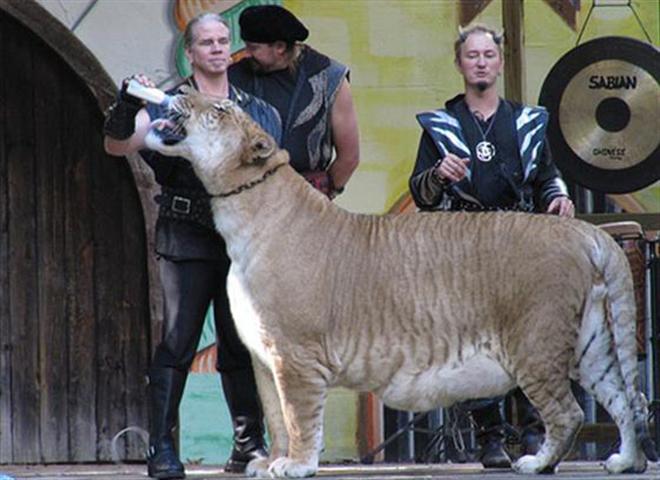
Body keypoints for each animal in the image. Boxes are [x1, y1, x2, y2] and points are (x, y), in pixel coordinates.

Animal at [145, 87, 657, 477]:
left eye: (219, 109)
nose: (180, 89)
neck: (242, 211)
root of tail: (586, 231)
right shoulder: (265, 358)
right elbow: (275, 415)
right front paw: (270, 461)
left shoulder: (298, 356)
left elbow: (299, 416)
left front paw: (297, 465)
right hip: (592, 343)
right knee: (627, 397)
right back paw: (626, 461)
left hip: (536, 343)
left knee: (569, 412)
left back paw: (537, 462)